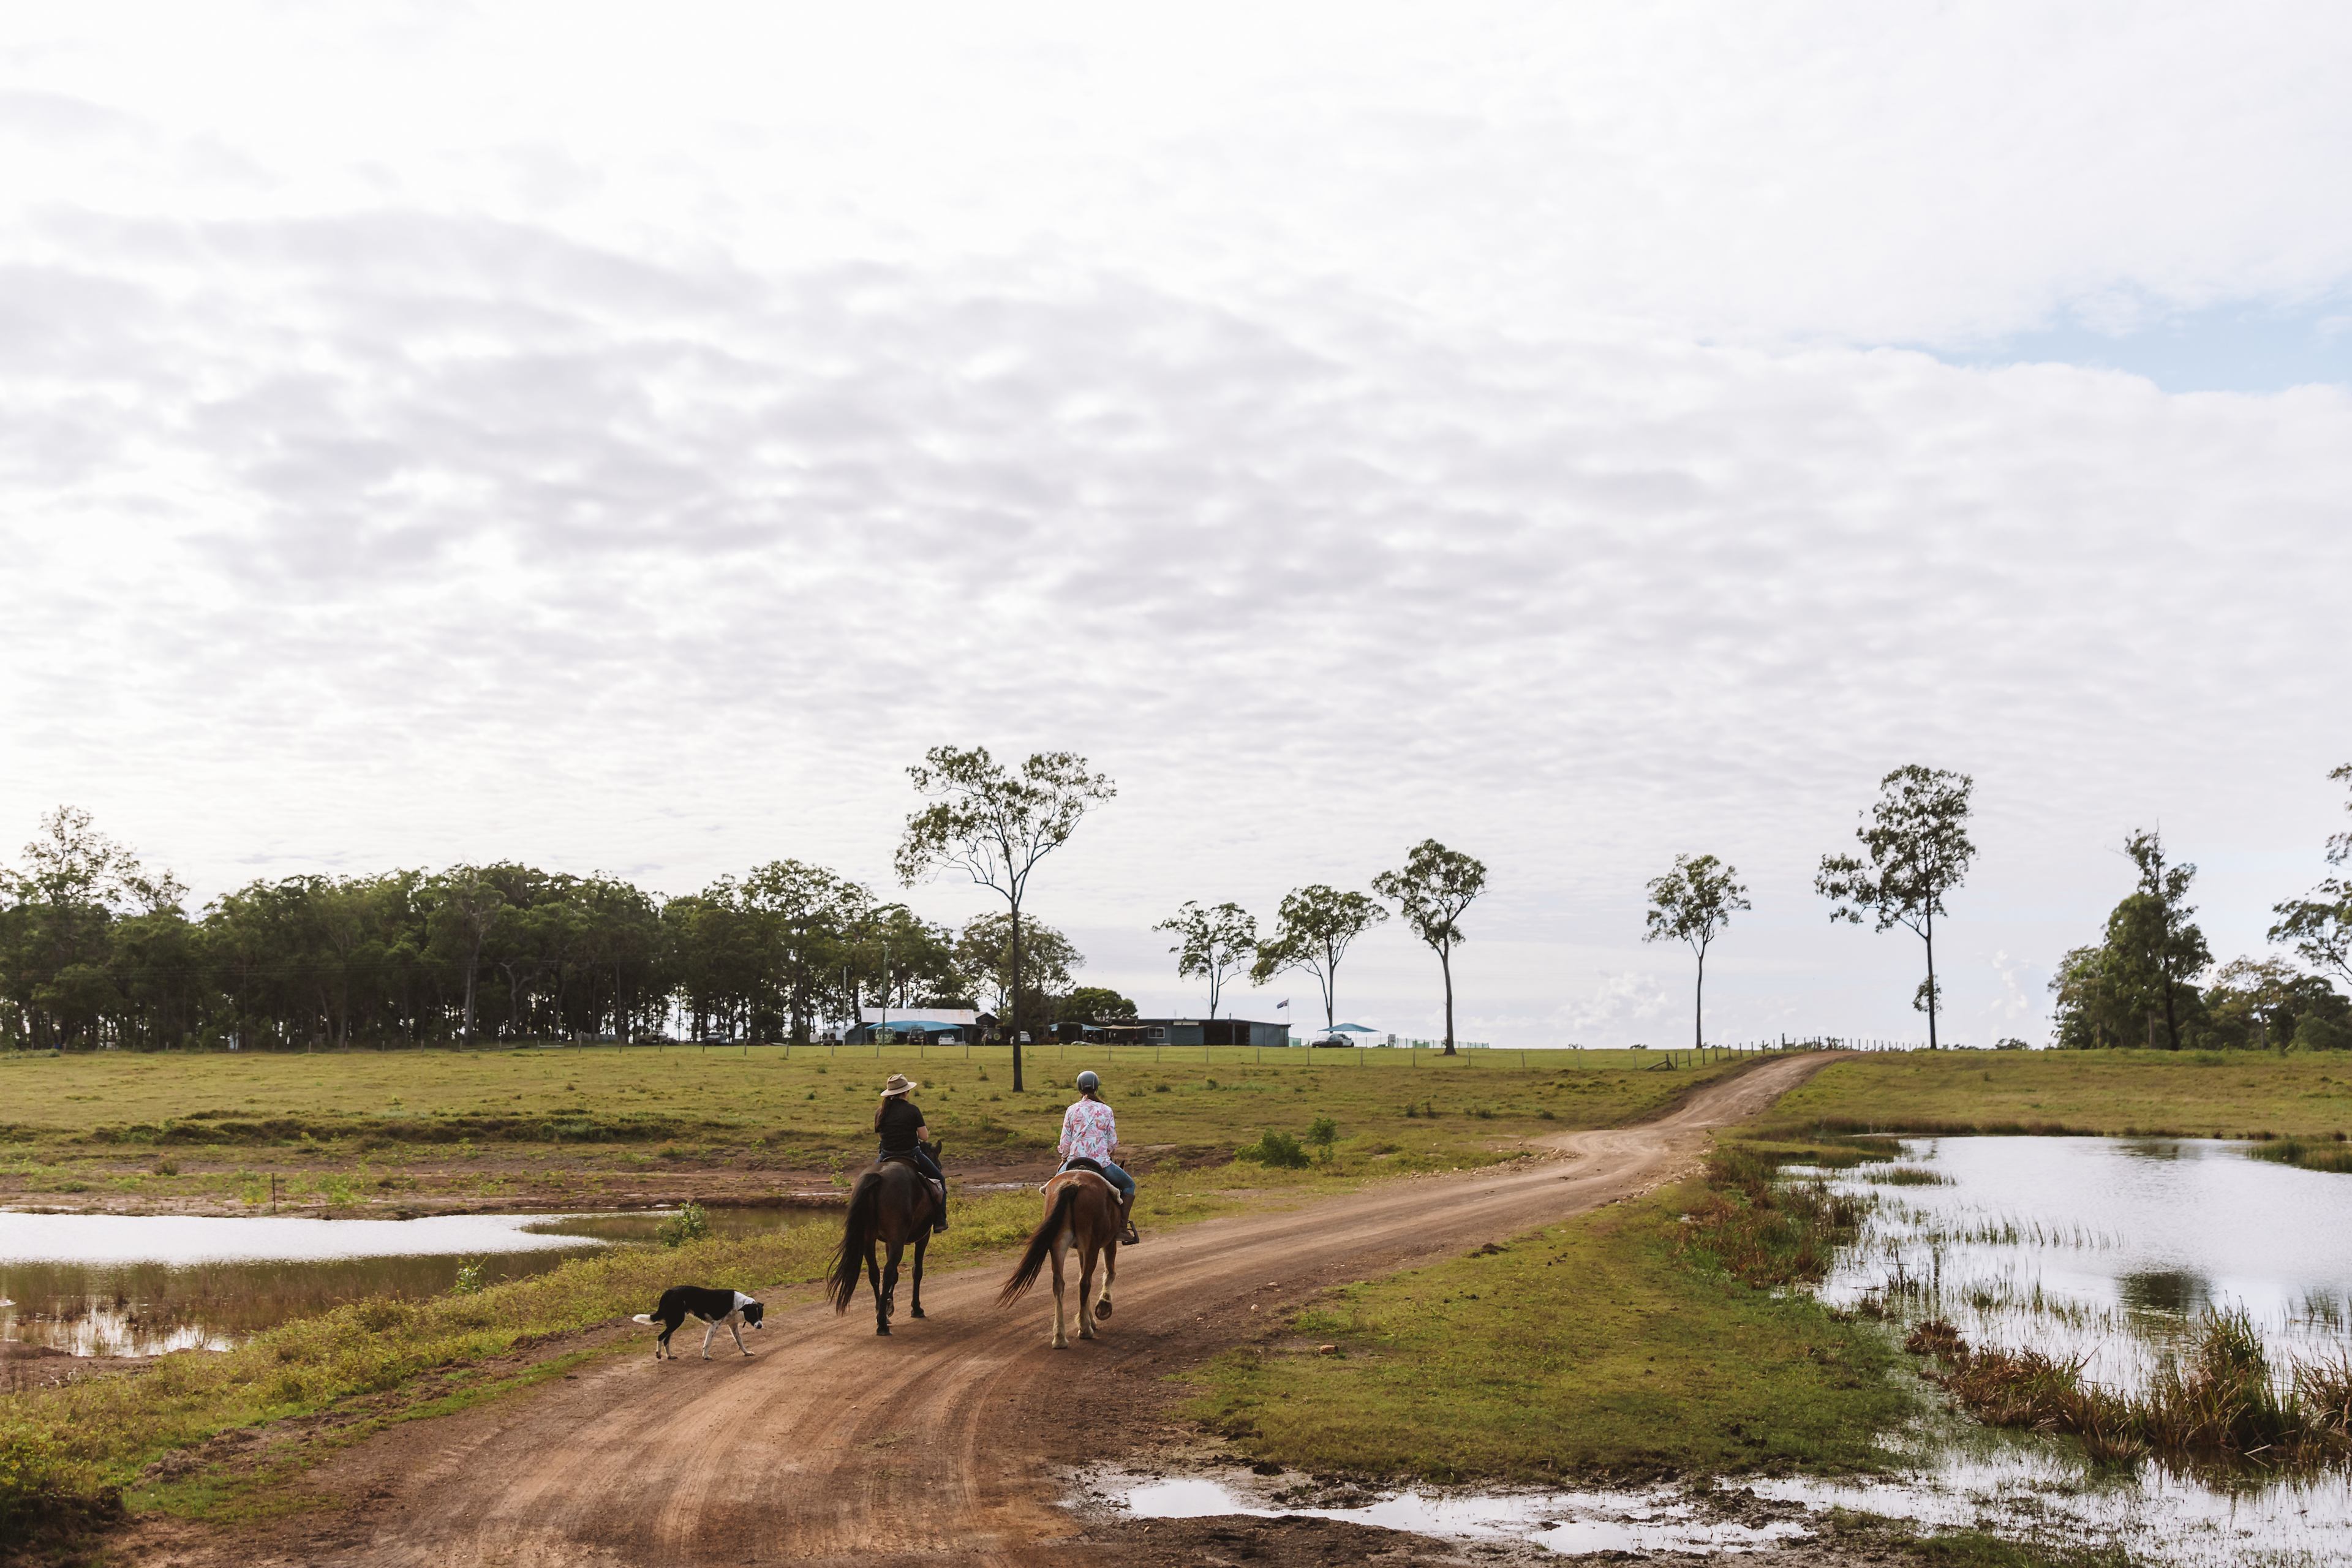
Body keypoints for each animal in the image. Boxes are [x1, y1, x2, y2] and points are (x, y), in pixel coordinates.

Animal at [828, 1148, 944, 1336]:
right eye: (937, 1163)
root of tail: (878, 1177)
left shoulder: (889, 1242)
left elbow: (895, 1275)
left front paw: (889, 1303)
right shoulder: (922, 1238)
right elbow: (916, 1271)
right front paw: (916, 1308)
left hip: (868, 1239)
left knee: (875, 1273)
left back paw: (880, 1313)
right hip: (897, 1238)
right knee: (888, 1272)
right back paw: (882, 1324)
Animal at [996, 1165, 1122, 1348]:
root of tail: (1072, 1185)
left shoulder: (1081, 1249)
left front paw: (1090, 1318)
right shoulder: (1109, 1242)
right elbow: (1109, 1273)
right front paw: (1103, 1307)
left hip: (1058, 1245)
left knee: (1059, 1284)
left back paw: (1060, 1337)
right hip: (1090, 1244)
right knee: (1085, 1282)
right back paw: (1085, 1330)